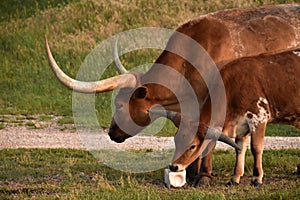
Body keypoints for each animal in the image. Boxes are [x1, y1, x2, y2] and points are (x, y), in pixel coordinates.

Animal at [151, 47, 300, 187]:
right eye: (176, 140)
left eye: (192, 146)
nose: (173, 166)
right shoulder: (241, 126)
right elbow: (239, 149)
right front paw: (235, 178)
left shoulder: (258, 118)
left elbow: (256, 148)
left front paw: (257, 178)